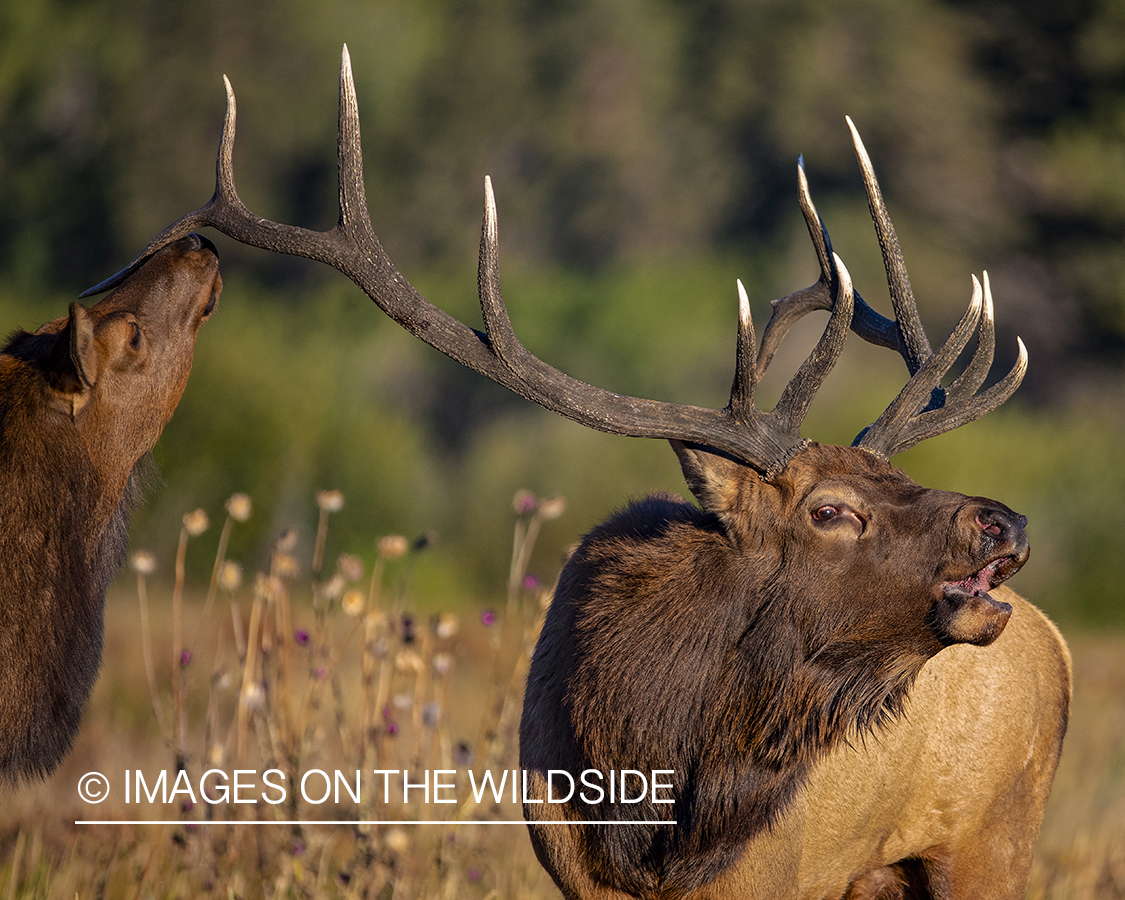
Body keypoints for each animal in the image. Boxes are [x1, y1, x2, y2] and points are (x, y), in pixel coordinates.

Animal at [92, 47, 1066, 900]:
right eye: (831, 510)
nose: (1005, 522)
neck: (651, 801)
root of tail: (1051, 640)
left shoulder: (778, 874)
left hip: (991, 843)